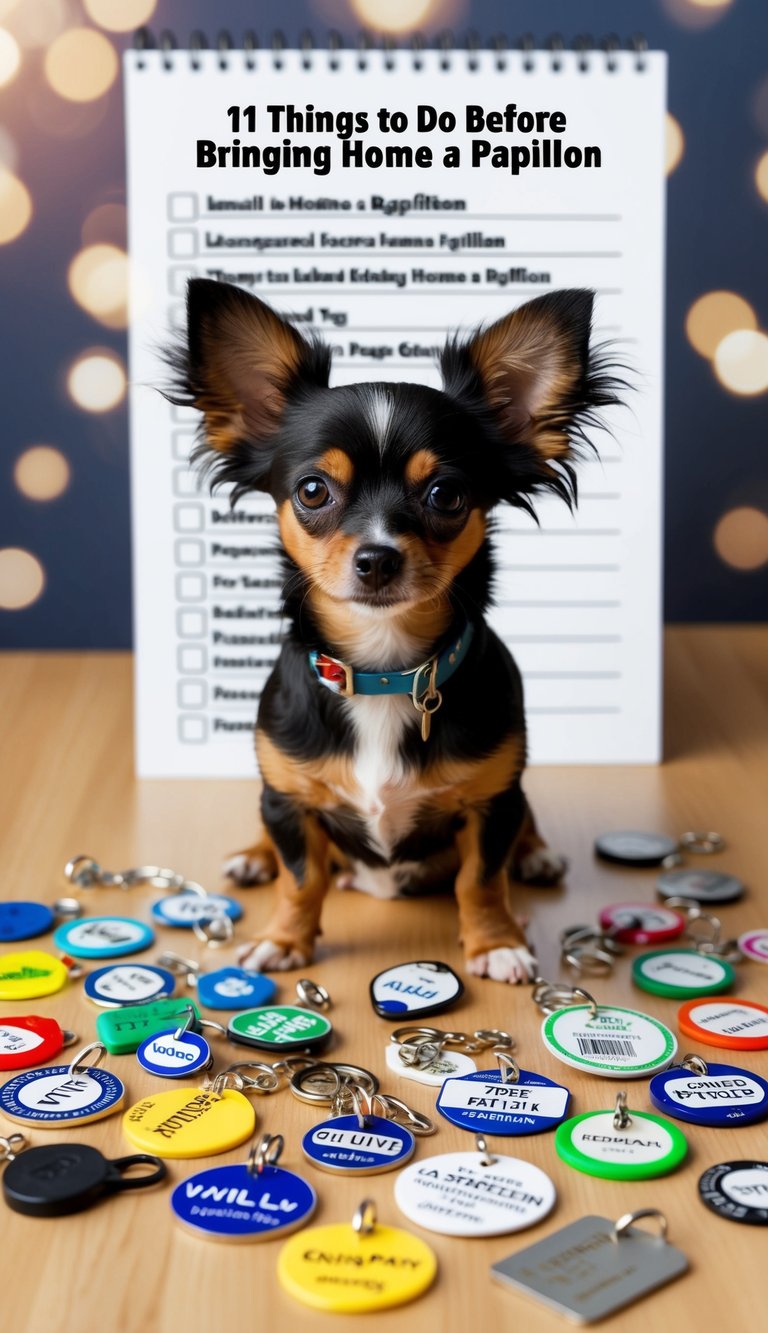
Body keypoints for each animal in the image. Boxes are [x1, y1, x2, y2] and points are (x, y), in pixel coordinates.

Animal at [170, 278, 621, 984]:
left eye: (446, 496)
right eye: (312, 490)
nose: (377, 558)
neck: (384, 670)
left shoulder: (494, 801)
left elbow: (480, 880)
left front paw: (496, 943)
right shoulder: (289, 800)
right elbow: (302, 877)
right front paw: (284, 939)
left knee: (524, 827)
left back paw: (536, 853)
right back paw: (254, 855)